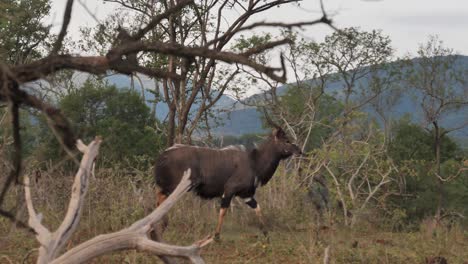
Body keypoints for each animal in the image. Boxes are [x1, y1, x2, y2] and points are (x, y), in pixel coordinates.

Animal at [152, 128, 302, 239]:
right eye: (287, 140)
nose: (299, 150)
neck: (254, 162)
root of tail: (162, 156)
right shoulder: (230, 189)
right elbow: (223, 210)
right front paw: (216, 236)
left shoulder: (246, 195)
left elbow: (258, 208)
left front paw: (266, 233)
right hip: (175, 187)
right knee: (162, 199)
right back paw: (160, 224)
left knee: (159, 197)